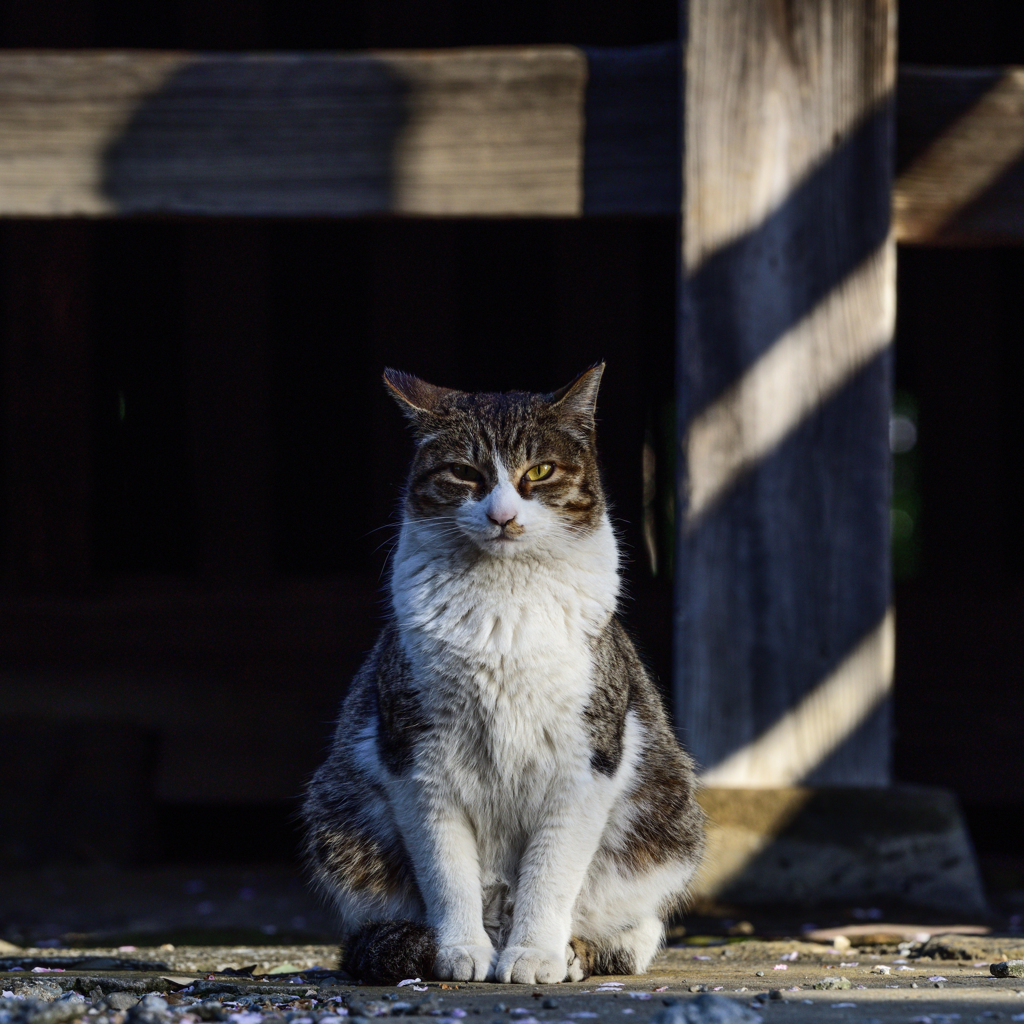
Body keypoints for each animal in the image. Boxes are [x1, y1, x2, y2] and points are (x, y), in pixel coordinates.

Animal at [301, 366, 704, 983]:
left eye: (538, 471)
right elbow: (446, 870)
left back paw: (576, 952)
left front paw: (535, 955)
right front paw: (459, 951)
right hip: (337, 812)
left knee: (635, 930)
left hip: (669, 813)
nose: (502, 515)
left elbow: (551, 873)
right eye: (465, 473)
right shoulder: (416, 757)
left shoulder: (587, 759)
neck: (503, 607)